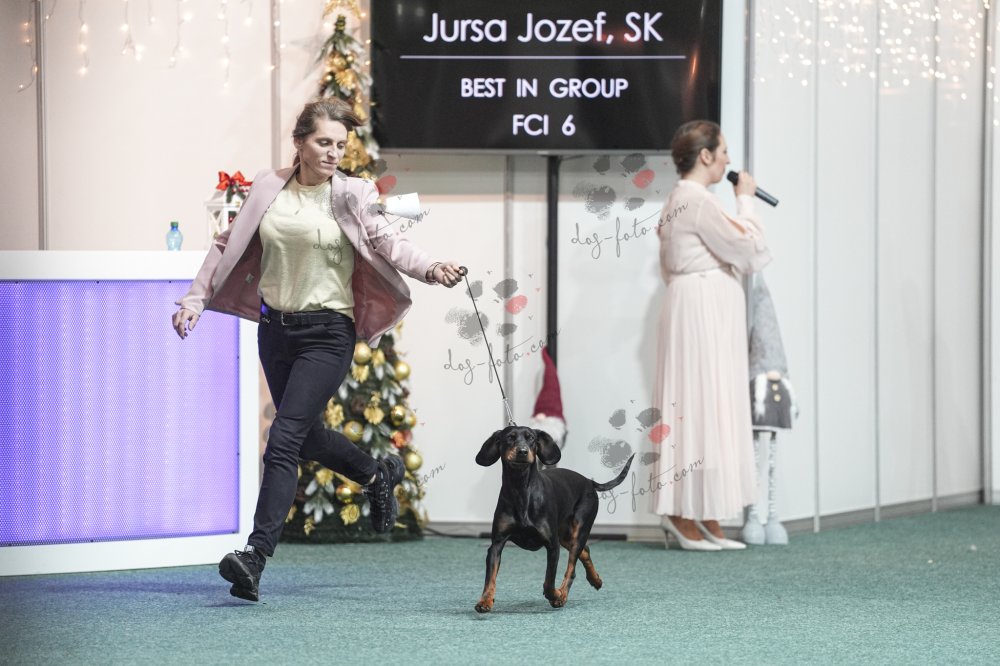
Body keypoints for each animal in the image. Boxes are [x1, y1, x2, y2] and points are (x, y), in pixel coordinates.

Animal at [474, 425, 634, 613]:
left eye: (531, 438)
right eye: (510, 438)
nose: (522, 451)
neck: (521, 490)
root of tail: (589, 481)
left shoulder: (552, 545)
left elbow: (549, 582)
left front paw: (556, 595)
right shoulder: (497, 545)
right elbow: (490, 578)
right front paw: (485, 600)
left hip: (580, 528)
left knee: (573, 565)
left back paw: (564, 594)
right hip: (565, 535)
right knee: (585, 550)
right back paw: (595, 580)